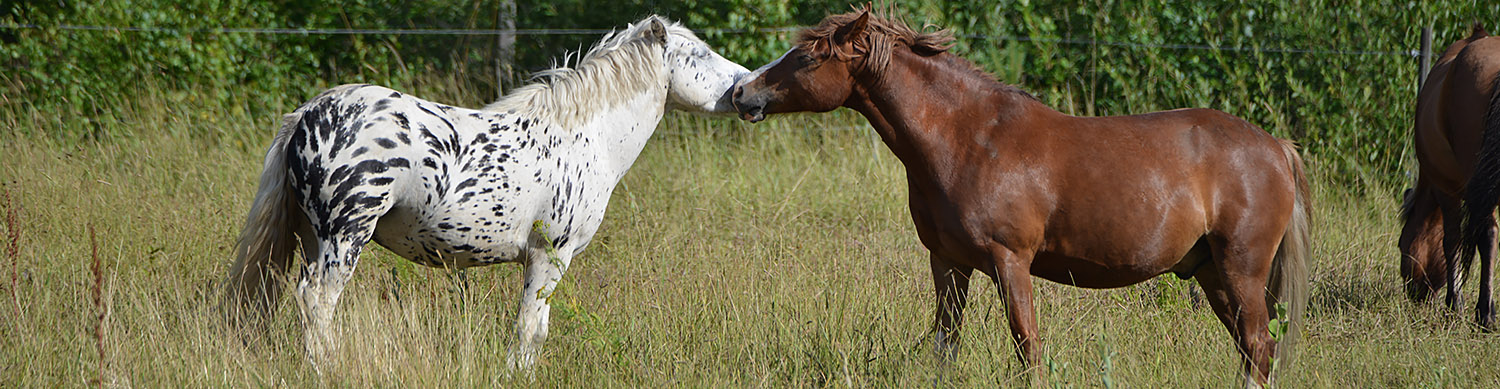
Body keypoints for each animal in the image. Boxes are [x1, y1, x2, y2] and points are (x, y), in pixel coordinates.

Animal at [223, 16, 750, 372]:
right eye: (700, 55)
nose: (745, 87)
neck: (583, 135)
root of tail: (308, 113)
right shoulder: (548, 255)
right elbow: (530, 328)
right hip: (344, 236)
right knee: (317, 301)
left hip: (313, 238)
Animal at [732, 7, 1308, 387]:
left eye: (810, 57)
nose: (741, 93)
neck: (968, 138)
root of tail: (1276, 147)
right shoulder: (948, 263)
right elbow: (946, 344)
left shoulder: (1010, 262)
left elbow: (1027, 347)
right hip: (1211, 273)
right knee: (1251, 350)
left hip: (1241, 269)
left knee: (1259, 347)